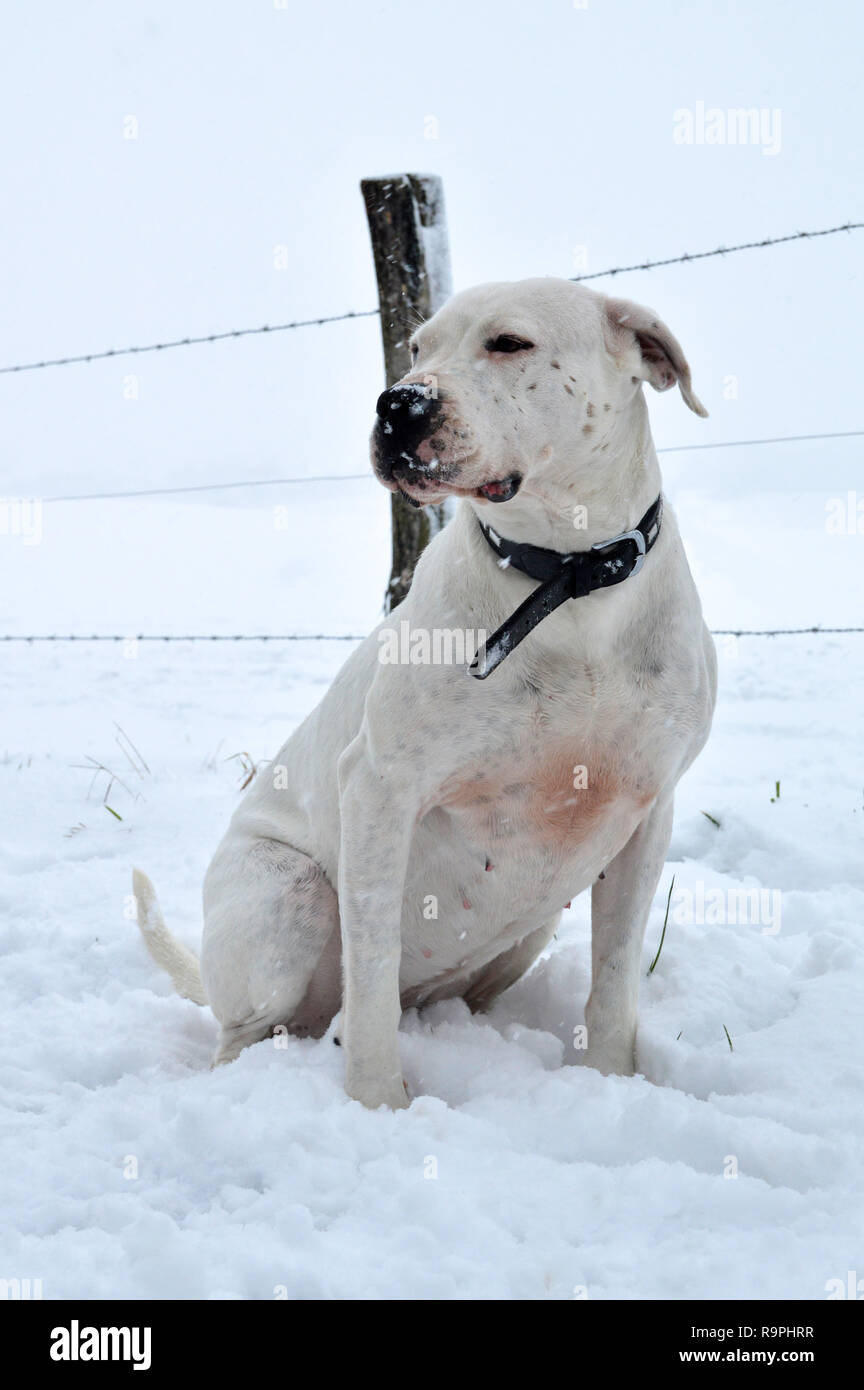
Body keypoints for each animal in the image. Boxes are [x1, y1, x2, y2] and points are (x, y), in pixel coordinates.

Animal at [134, 279, 716, 1106]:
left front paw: (610, 1079)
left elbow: (614, 980)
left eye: (509, 342)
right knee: (251, 1028)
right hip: (287, 896)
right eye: (416, 347)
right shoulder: (381, 790)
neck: (566, 580)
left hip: (531, 924)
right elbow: (372, 972)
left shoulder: (646, 808)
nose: (396, 404)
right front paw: (378, 1103)